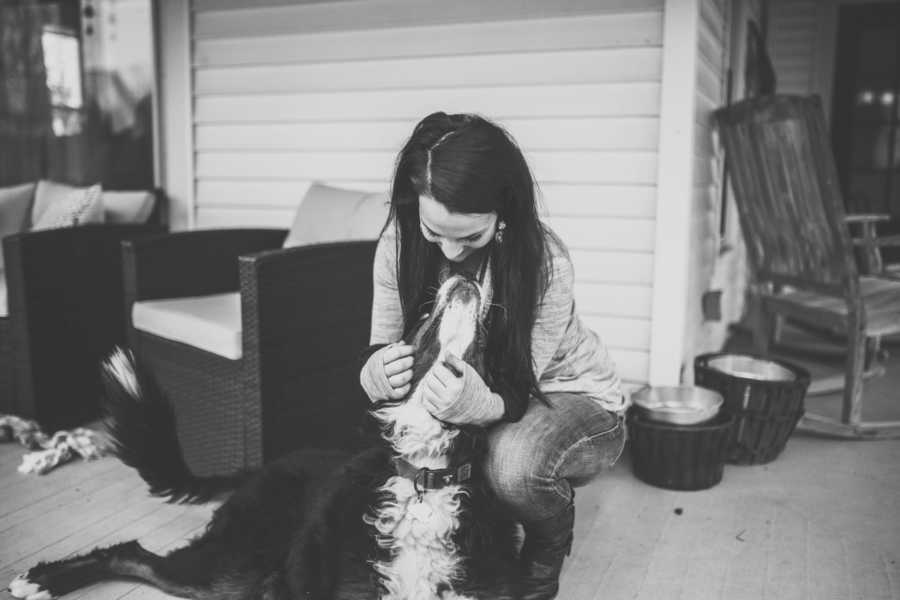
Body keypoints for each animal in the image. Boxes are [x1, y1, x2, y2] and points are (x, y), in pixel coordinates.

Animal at [8, 276, 528, 600]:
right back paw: (41, 582)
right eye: (422, 321)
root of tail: (260, 466)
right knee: (129, 554)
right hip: (233, 565)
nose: (465, 275)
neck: (426, 473)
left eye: (486, 338)